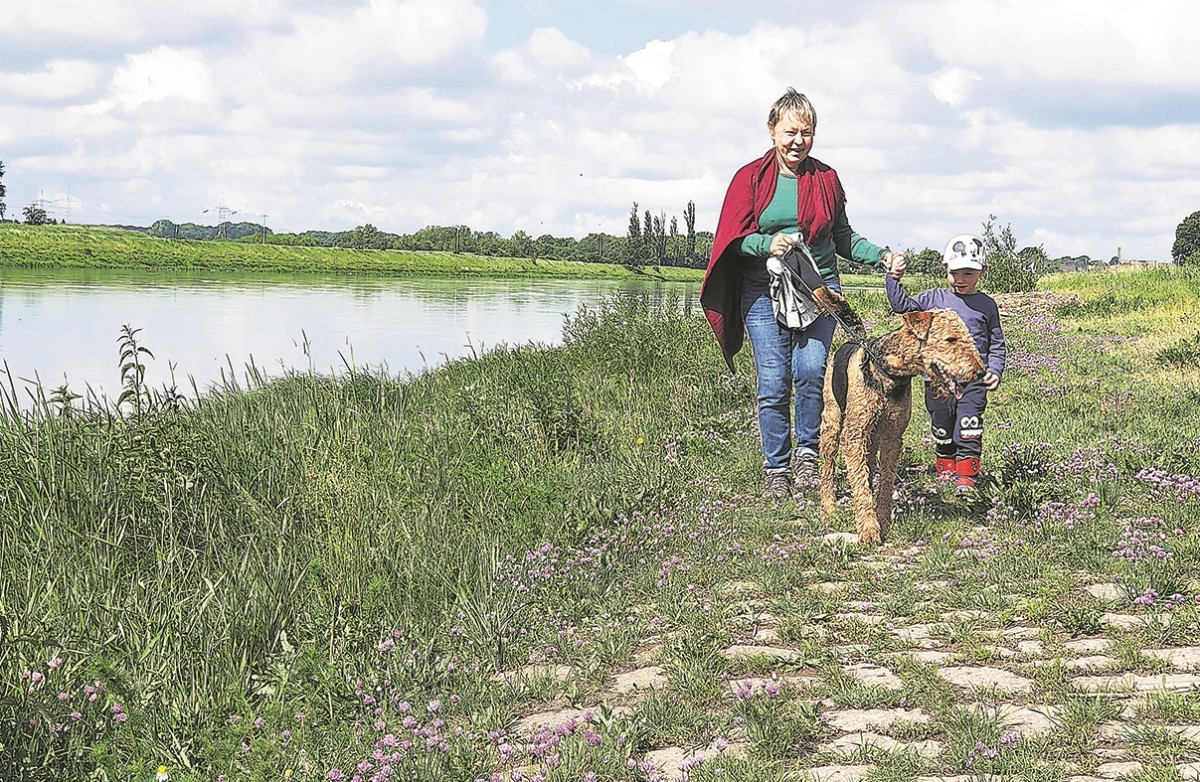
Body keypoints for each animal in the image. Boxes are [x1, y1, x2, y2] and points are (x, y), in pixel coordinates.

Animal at [816, 309, 984, 539]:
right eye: (950, 339)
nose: (981, 371)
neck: (888, 372)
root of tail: (852, 339)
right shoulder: (855, 436)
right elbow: (860, 484)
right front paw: (868, 529)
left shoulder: (893, 437)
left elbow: (885, 482)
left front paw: (882, 520)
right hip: (832, 426)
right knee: (827, 469)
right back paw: (829, 508)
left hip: (872, 437)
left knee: (868, 467)